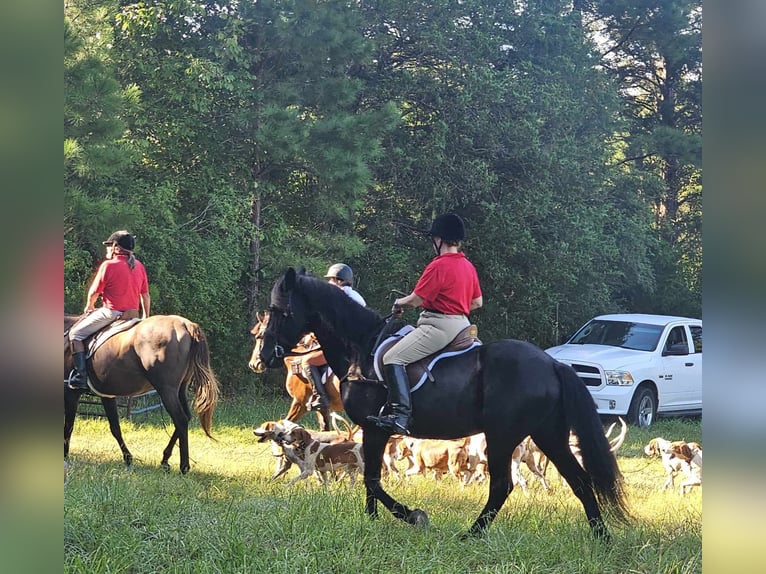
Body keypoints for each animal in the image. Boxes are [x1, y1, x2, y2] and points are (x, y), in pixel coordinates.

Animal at [64, 312, 220, 474]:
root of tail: (185, 324)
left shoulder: (70, 394)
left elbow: (68, 427)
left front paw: (65, 456)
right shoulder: (107, 396)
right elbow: (115, 428)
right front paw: (128, 459)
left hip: (166, 390)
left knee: (181, 420)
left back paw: (184, 466)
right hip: (180, 389)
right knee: (186, 417)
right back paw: (165, 460)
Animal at [260, 268, 632, 540]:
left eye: (281, 312)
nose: (264, 357)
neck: (360, 349)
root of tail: (552, 364)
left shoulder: (376, 429)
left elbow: (373, 479)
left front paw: (412, 516)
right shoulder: (369, 431)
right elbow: (371, 479)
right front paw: (371, 519)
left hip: (503, 437)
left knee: (502, 485)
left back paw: (471, 534)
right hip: (548, 434)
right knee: (579, 480)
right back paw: (600, 536)